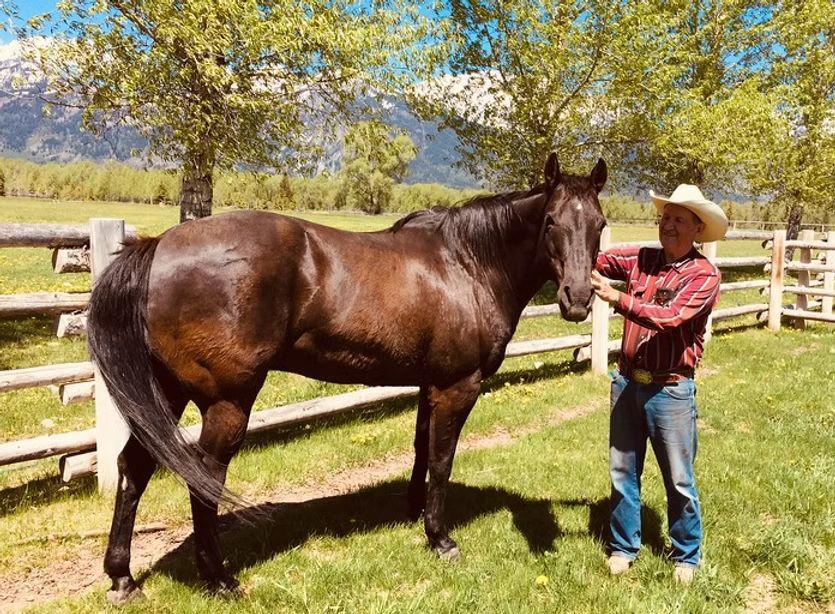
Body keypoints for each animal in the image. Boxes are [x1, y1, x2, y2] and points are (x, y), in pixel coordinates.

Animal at [86, 153, 607, 603]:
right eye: (551, 221)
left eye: (599, 225)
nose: (578, 299)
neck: (467, 264)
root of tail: (158, 246)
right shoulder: (457, 386)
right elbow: (442, 459)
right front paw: (440, 539)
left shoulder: (429, 384)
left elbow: (421, 449)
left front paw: (414, 514)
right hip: (226, 402)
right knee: (204, 477)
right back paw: (218, 579)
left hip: (167, 392)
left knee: (135, 468)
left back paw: (122, 577)